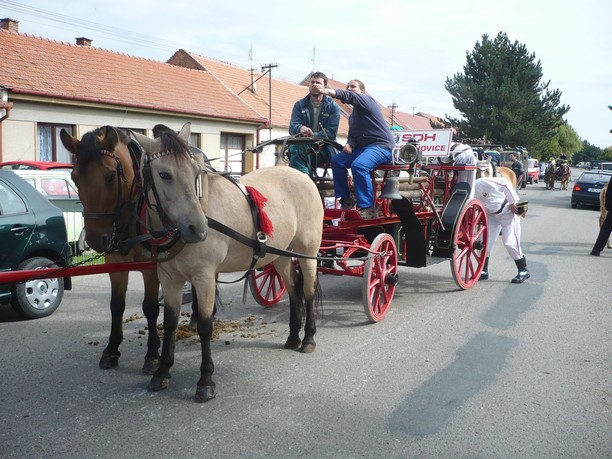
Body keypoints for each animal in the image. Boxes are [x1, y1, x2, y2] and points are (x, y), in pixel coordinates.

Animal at [131, 122, 322, 402]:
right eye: (164, 174)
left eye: (195, 172)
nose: (198, 229)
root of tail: (301, 175)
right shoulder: (169, 277)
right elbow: (170, 322)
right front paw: (163, 371)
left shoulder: (204, 277)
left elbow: (205, 325)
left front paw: (205, 380)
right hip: (279, 255)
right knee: (294, 289)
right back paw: (292, 336)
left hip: (308, 251)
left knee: (307, 290)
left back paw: (308, 338)